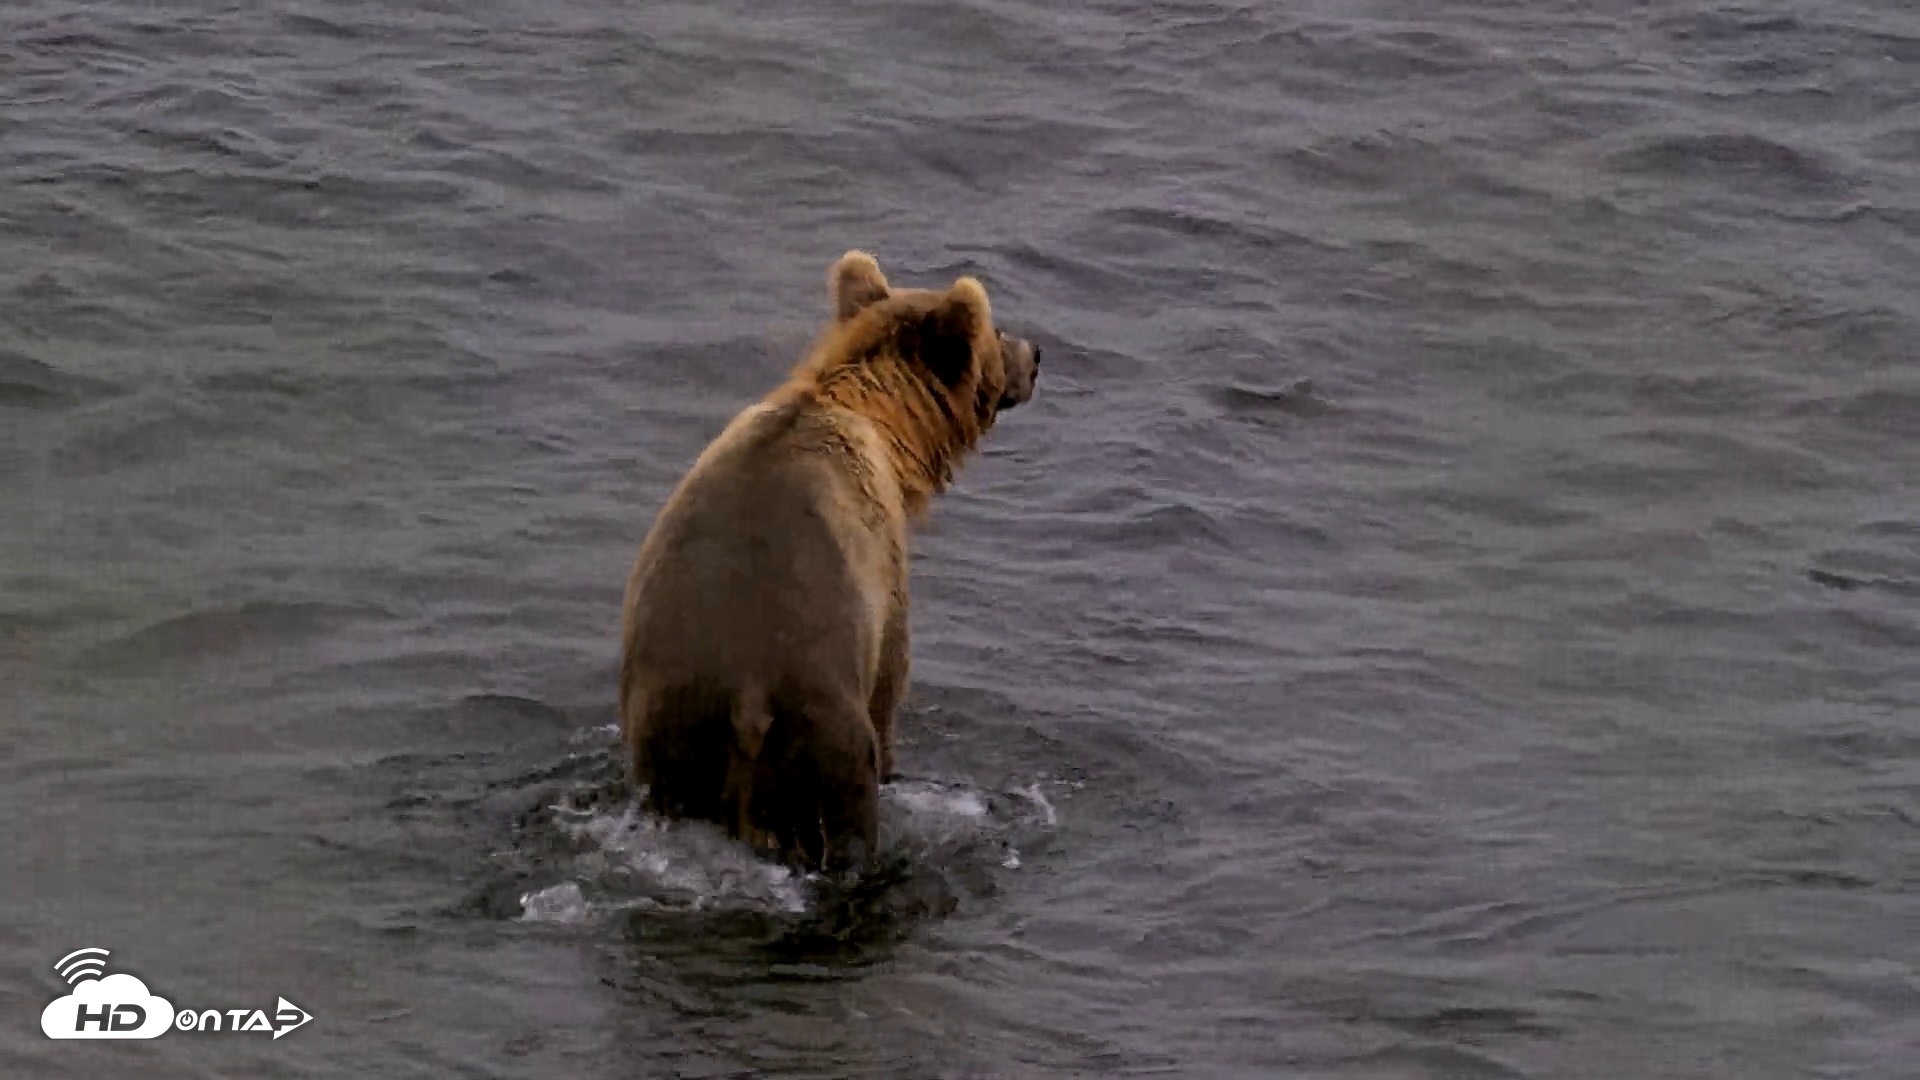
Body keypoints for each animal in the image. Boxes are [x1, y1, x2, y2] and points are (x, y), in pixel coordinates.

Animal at [618, 251, 1041, 872]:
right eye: (996, 332)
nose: (1034, 355)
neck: (881, 420)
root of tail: (748, 696)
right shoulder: (884, 579)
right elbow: (893, 680)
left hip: (671, 722)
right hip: (823, 730)